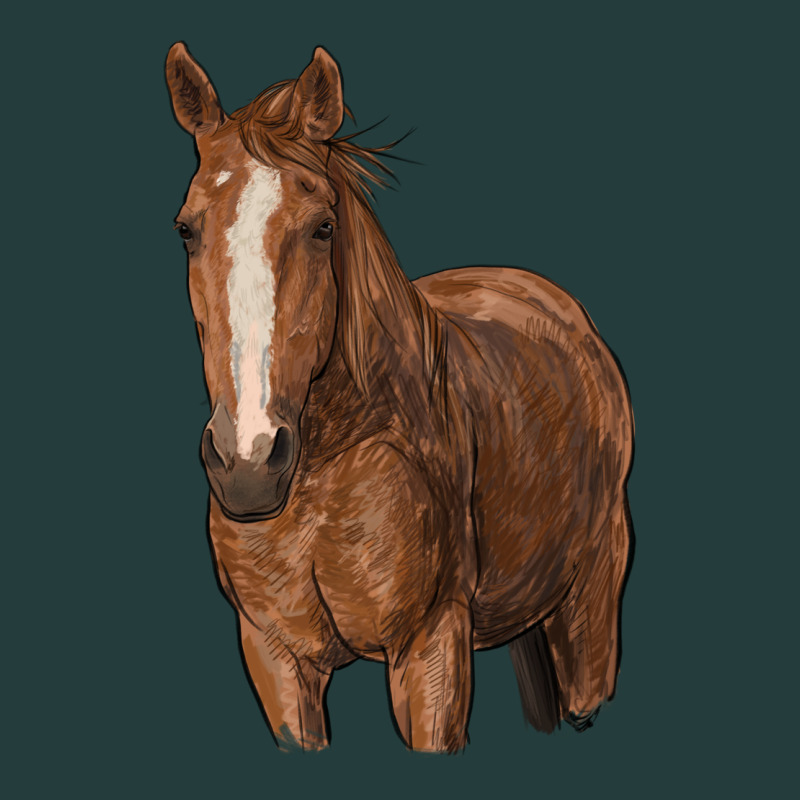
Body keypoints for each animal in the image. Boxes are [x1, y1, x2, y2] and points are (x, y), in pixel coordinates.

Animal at [165, 42, 634, 753]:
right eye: (187, 231)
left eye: (322, 227)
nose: (247, 463)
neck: (323, 473)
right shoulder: (276, 659)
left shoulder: (430, 648)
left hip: (589, 603)